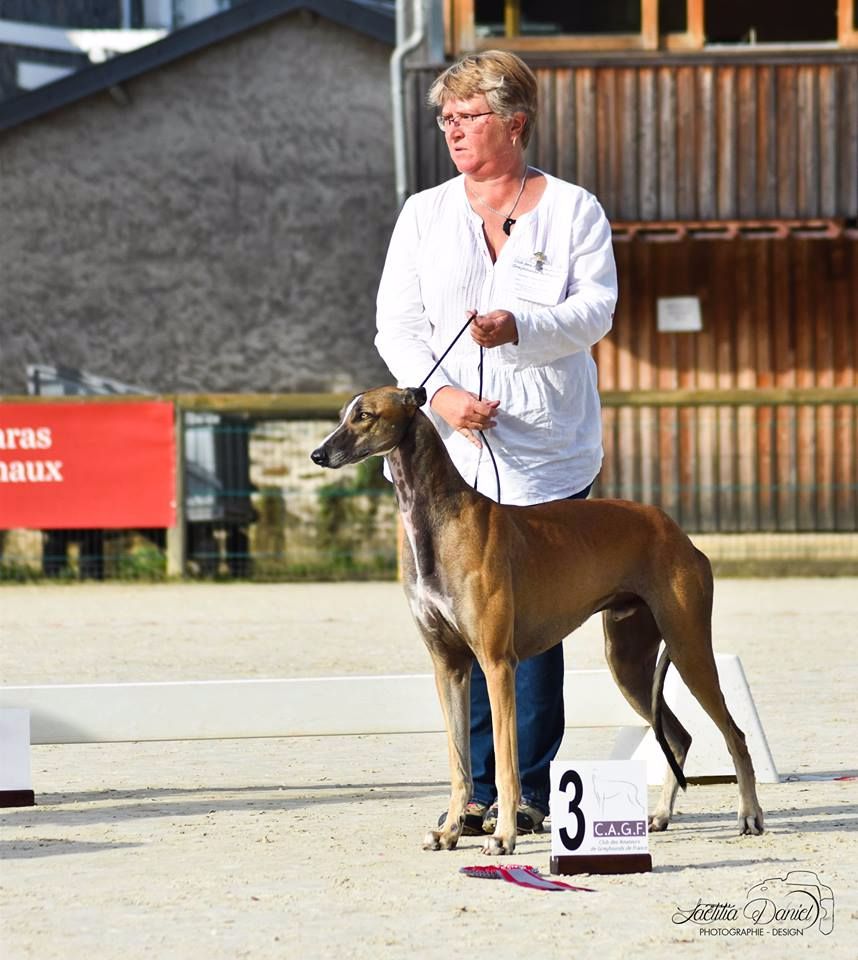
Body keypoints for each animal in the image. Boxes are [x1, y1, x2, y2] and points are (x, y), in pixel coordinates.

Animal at [310, 386, 764, 860]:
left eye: (365, 415)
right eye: (343, 414)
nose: (318, 454)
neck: (439, 522)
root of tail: (677, 531)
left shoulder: (497, 663)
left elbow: (508, 763)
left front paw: (504, 835)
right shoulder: (448, 665)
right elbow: (459, 762)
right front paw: (450, 830)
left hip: (689, 647)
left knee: (735, 734)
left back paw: (749, 815)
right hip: (628, 664)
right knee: (679, 736)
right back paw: (659, 815)